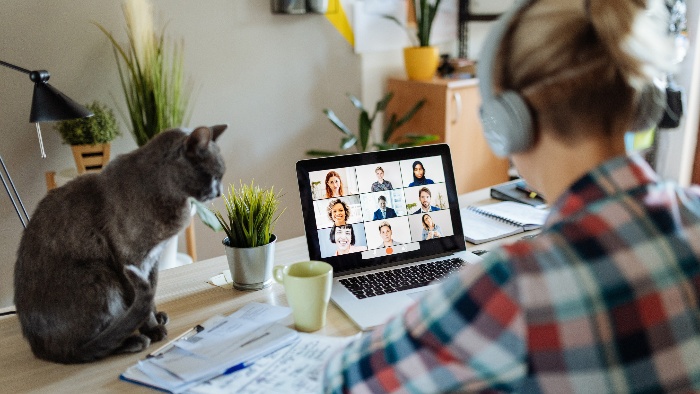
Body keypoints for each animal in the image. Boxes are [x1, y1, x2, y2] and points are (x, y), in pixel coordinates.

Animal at [13, 124, 226, 362]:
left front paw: (156, 316)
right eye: (212, 176)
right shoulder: (129, 259)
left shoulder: (152, 261)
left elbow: (151, 292)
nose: (220, 192)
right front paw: (153, 329)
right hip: (100, 275)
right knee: (88, 347)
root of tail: (40, 349)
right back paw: (134, 340)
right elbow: (140, 296)